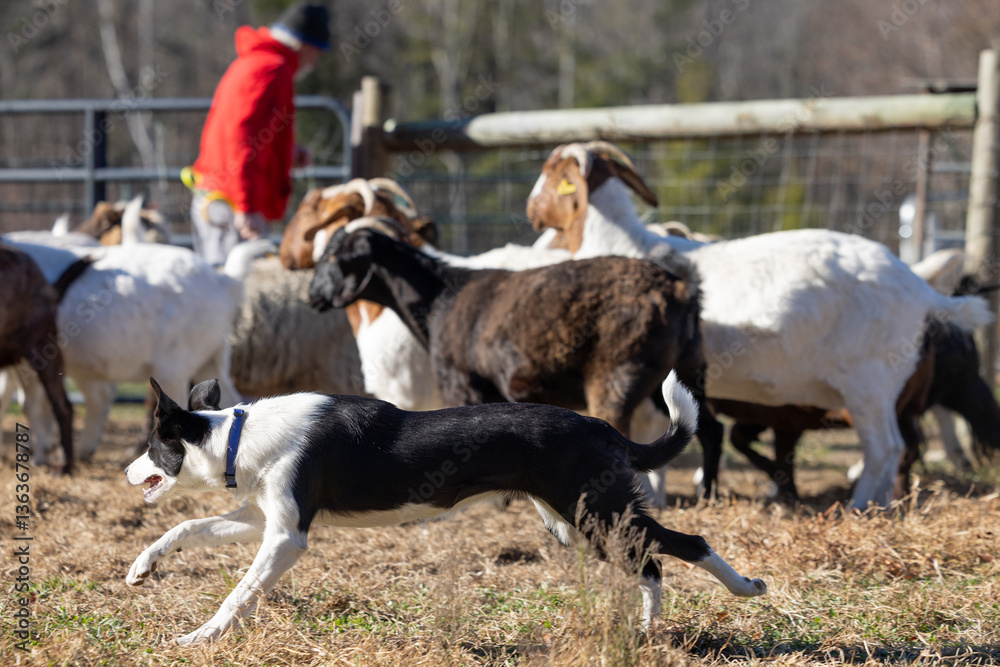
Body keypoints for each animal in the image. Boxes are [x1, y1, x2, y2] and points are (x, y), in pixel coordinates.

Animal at [310, 226, 703, 438]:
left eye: (332, 258)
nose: (313, 297)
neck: (441, 297)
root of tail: (678, 287)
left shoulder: (463, 385)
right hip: (684, 369)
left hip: (617, 374)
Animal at [527, 141, 993, 509]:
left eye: (553, 175)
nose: (531, 212)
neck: (626, 244)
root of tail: (920, 288)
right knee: (893, 447)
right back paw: (876, 502)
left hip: (870, 383)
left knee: (886, 447)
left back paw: (860, 505)